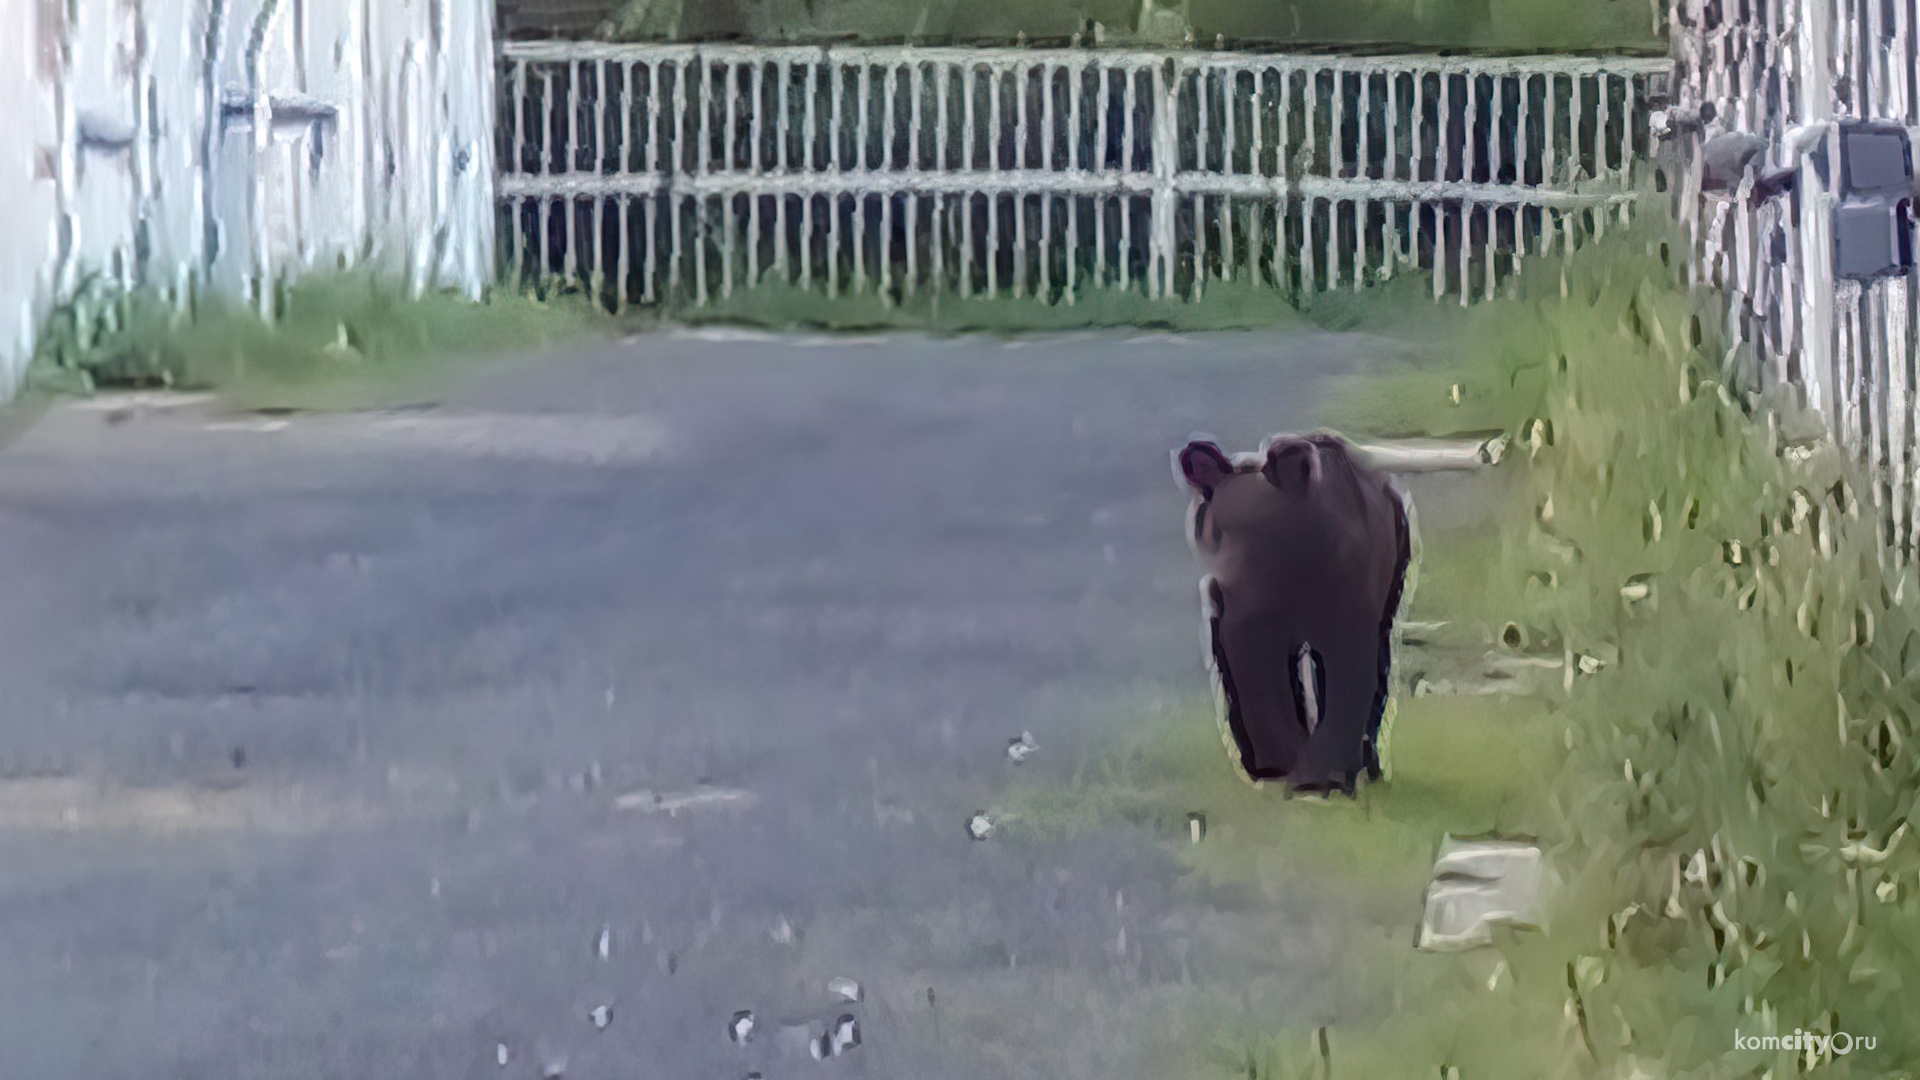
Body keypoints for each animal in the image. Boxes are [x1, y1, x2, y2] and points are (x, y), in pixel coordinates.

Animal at [1167, 428, 1413, 791]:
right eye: (1215, 533)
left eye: (1270, 533)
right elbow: (1252, 664)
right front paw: (1278, 768)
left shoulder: (1350, 597)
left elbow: (1350, 666)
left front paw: (1327, 777)